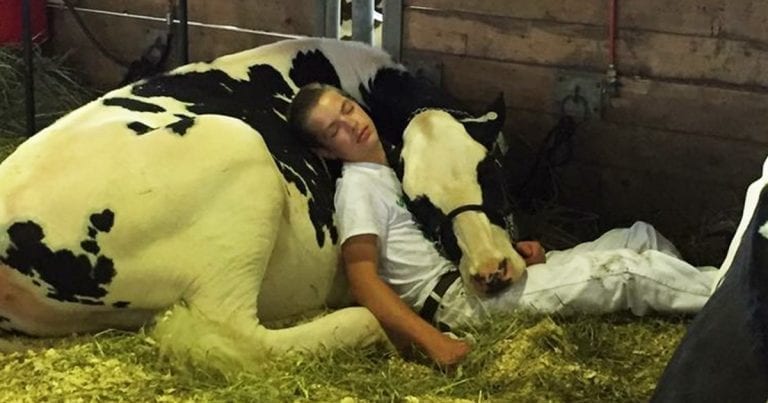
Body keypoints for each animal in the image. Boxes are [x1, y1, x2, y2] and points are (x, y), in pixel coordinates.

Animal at [0, 38, 525, 372]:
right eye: (419, 204)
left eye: (492, 174)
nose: (491, 269)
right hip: (242, 160)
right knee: (236, 334)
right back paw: (364, 325)